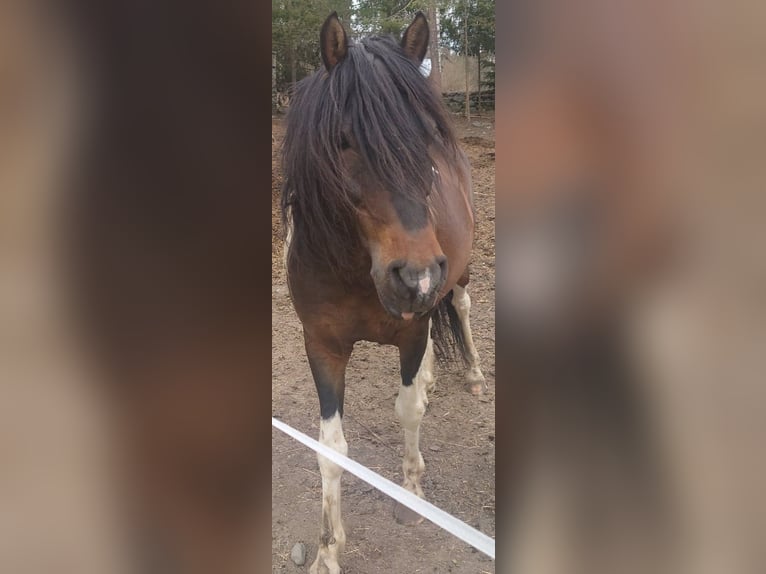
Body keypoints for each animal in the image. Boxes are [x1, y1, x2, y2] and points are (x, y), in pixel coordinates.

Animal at [280, 12, 486, 574]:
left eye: (427, 137)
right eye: (344, 140)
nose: (415, 277)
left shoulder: (411, 332)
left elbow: (408, 410)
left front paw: (412, 497)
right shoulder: (323, 346)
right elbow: (330, 447)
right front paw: (328, 550)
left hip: (457, 274)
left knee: (460, 305)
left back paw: (474, 372)